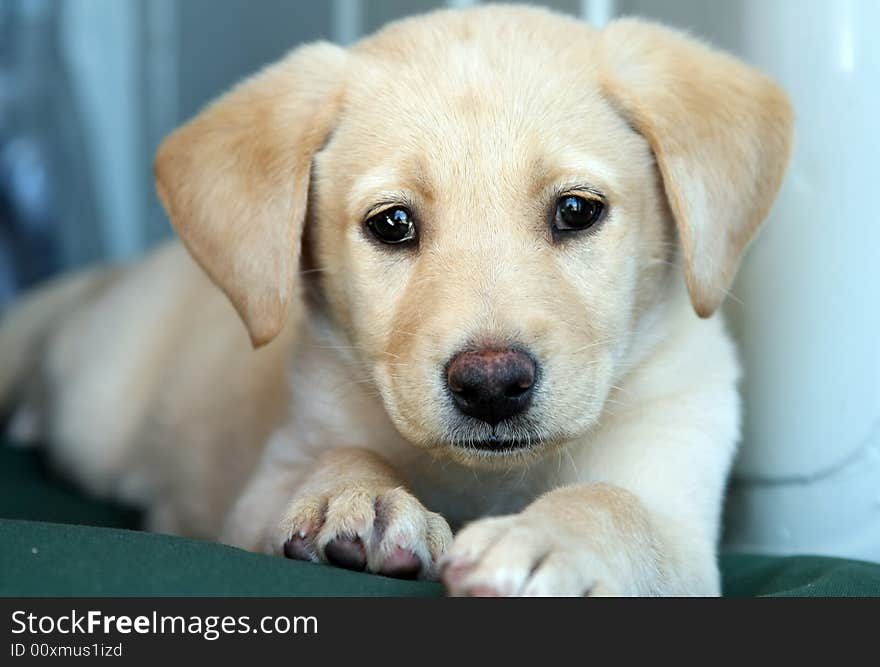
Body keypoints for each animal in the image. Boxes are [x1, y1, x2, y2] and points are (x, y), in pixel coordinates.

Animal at [0, 7, 796, 596]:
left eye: (577, 210)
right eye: (392, 224)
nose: (492, 384)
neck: (486, 483)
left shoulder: (679, 505)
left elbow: (615, 504)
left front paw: (547, 541)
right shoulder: (261, 486)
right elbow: (337, 455)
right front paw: (355, 499)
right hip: (95, 406)